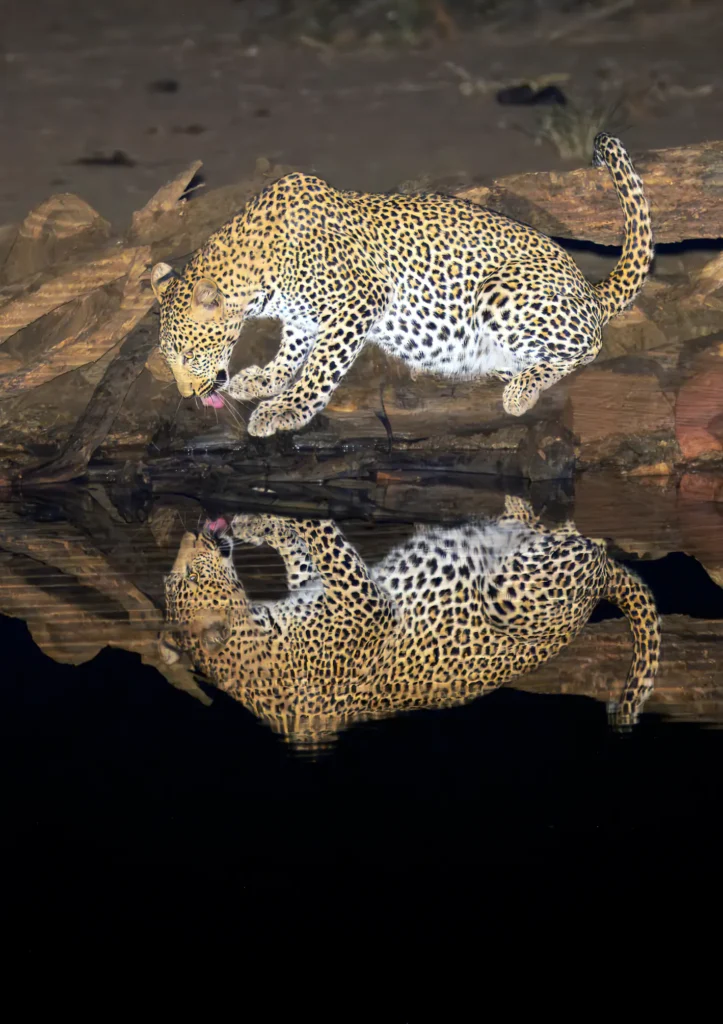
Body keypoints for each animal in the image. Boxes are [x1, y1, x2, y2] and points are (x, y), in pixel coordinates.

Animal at [150, 132, 653, 438]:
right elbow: (292, 350)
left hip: (501, 292)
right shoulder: (302, 318)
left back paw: (521, 389)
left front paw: (284, 408)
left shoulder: (358, 299)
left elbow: (320, 366)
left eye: (188, 355)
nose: (186, 396)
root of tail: (591, 289)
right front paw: (262, 379)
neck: (257, 277)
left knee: (588, 346)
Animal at [159, 497, 660, 750]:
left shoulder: (318, 586)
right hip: (514, 592)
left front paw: (260, 521)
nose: (192, 532)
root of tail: (599, 588)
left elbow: (302, 550)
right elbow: (325, 537)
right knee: (587, 545)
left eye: (176, 577)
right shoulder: (366, 601)